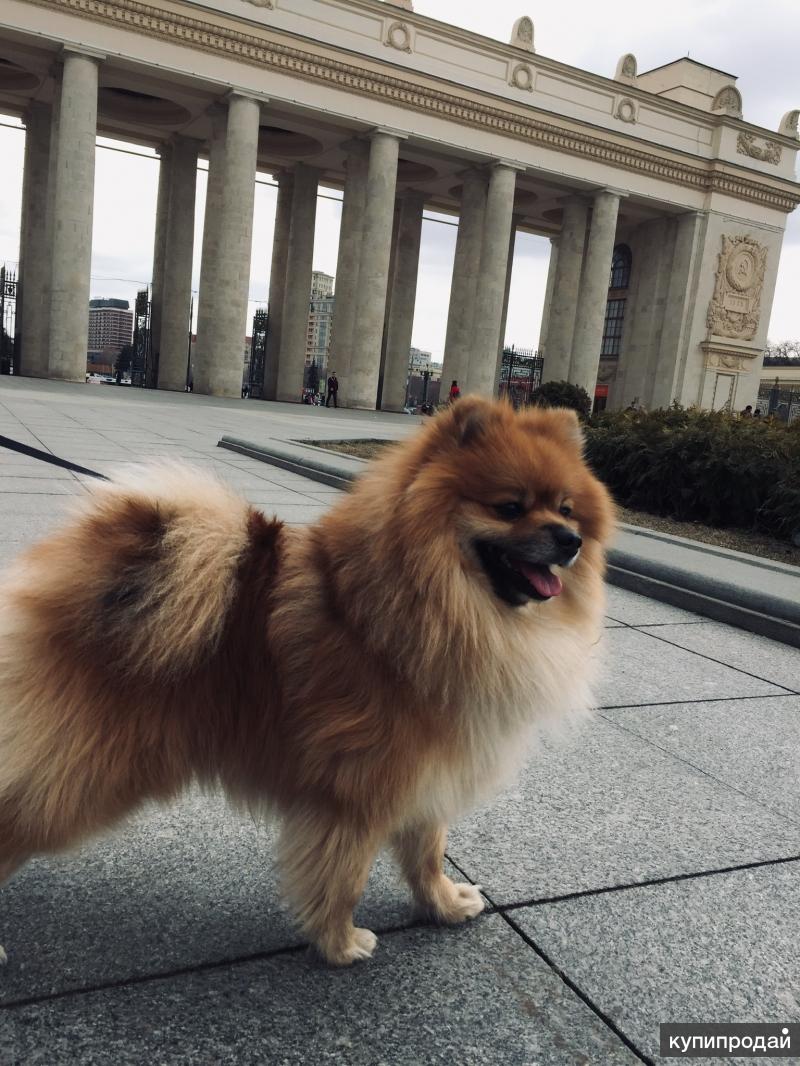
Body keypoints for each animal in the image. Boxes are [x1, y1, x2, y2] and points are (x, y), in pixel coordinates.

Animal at [0, 397, 614, 965]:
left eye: (567, 508)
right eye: (510, 507)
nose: (569, 539)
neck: (434, 603)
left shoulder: (428, 768)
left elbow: (427, 850)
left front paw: (441, 904)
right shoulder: (358, 789)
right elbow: (343, 876)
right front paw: (340, 943)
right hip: (84, 775)